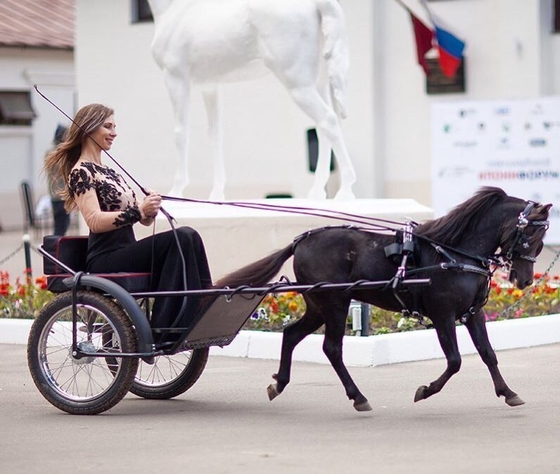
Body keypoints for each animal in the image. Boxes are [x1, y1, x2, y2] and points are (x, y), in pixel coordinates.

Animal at [217, 188, 548, 412]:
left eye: (541, 241)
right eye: (529, 238)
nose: (524, 280)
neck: (454, 253)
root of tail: (302, 241)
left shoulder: (472, 313)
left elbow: (488, 354)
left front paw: (508, 392)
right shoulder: (442, 315)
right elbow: (454, 361)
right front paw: (425, 390)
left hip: (318, 306)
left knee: (291, 334)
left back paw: (280, 383)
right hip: (335, 304)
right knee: (332, 348)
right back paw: (358, 397)